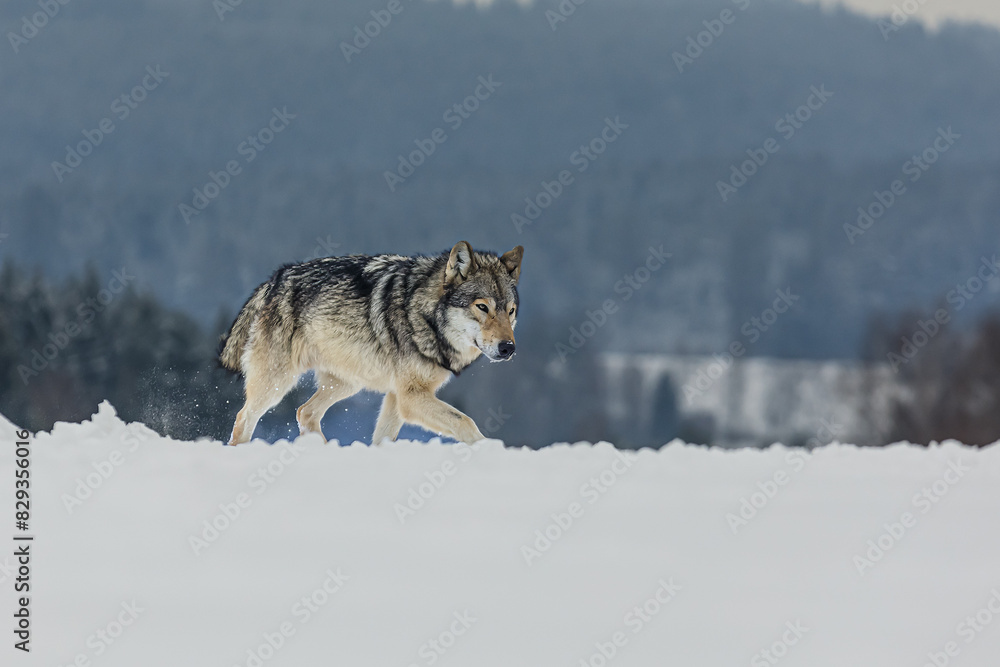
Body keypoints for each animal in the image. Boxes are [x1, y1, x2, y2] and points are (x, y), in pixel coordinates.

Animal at [215, 243, 520, 446]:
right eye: (482, 307)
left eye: (511, 311)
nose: (508, 348)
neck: (421, 313)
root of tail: (273, 280)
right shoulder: (411, 397)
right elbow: (466, 422)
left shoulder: (397, 397)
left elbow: (383, 439)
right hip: (278, 383)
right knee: (244, 418)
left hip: (347, 383)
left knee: (305, 412)